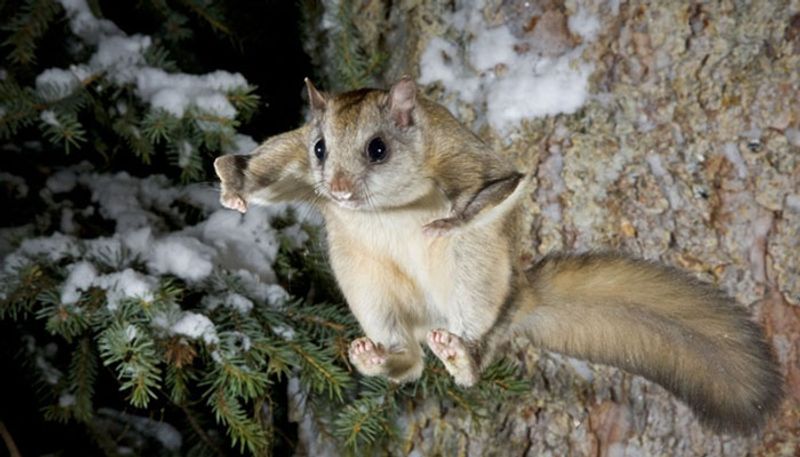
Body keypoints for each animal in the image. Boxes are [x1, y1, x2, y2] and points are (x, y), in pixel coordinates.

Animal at [212, 76, 780, 432]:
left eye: (378, 148)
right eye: (320, 148)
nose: (339, 190)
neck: (388, 204)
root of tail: (517, 300)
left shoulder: (463, 158)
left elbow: (497, 185)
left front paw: (444, 222)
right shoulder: (294, 156)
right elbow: (270, 164)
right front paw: (234, 183)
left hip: (477, 278)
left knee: (475, 348)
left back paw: (462, 356)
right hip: (367, 284)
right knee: (410, 362)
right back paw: (379, 355)